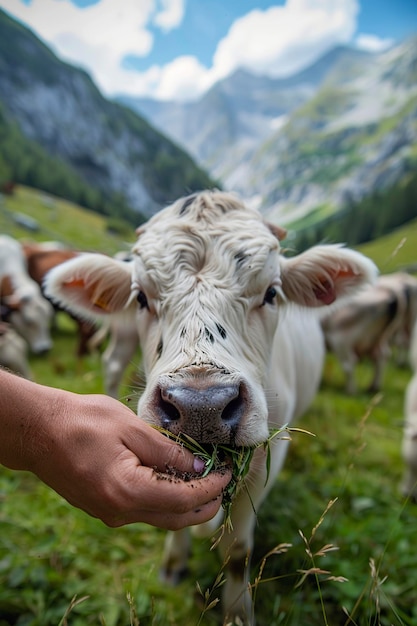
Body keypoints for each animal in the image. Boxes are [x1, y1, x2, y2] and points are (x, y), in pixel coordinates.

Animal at [43, 191, 376, 624]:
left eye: (272, 293)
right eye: (141, 297)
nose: (200, 405)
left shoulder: (269, 458)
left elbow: (238, 551)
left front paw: (237, 610)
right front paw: (173, 565)